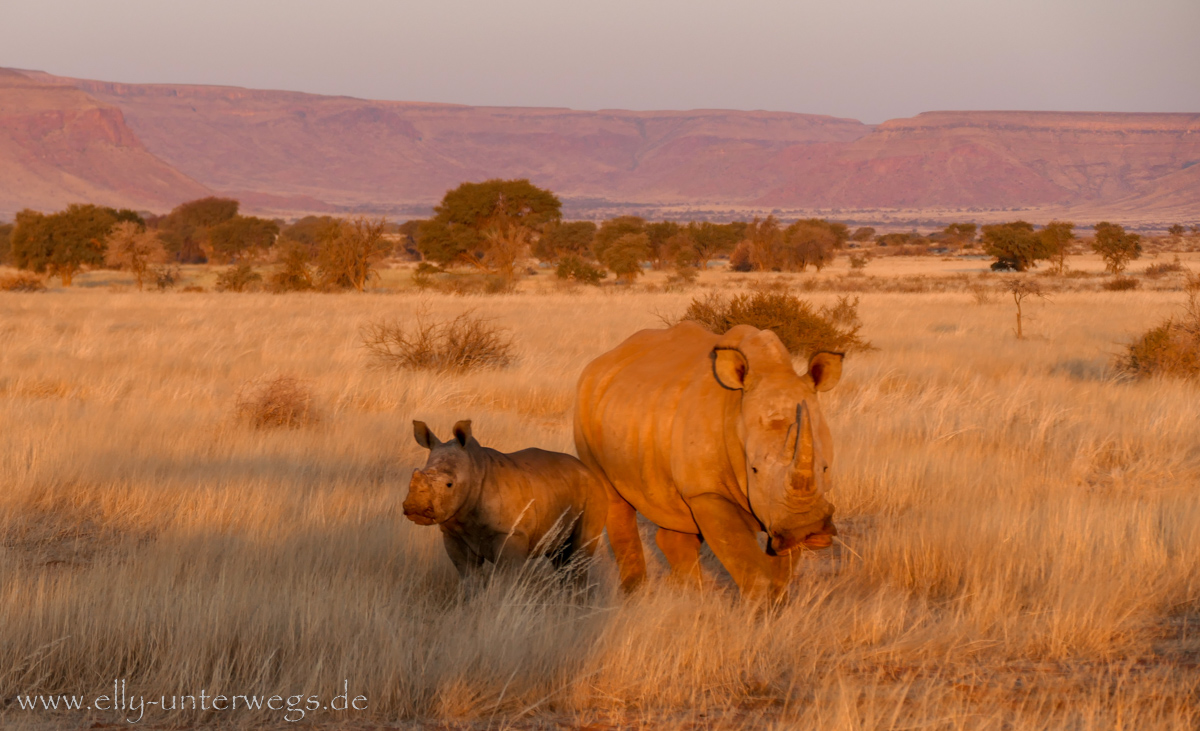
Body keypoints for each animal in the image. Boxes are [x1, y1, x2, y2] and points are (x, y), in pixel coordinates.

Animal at [405, 422, 609, 580]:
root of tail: (588, 470)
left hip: (594, 493)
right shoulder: (453, 533)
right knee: (560, 556)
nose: (415, 508)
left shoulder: (510, 533)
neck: (474, 469)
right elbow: (470, 576)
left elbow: (506, 578)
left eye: (449, 484)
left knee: (579, 554)